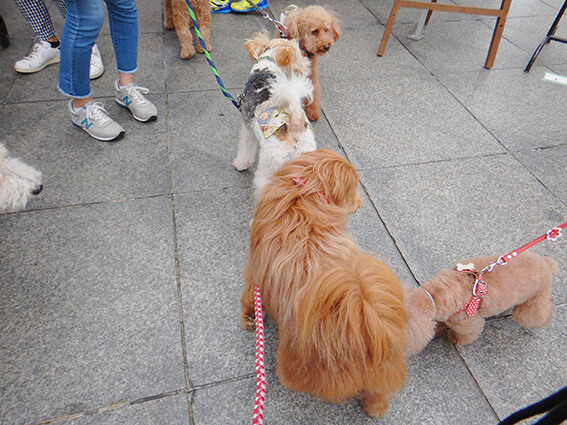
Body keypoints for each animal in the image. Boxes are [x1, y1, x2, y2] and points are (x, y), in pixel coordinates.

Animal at [240, 149, 408, 418]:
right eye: (353, 189)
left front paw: (249, 317)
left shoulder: (255, 272)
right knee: (380, 393)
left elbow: (249, 297)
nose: (361, 204)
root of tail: (359, 323)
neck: (306, 189)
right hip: (386, 365)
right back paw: (375, 409)